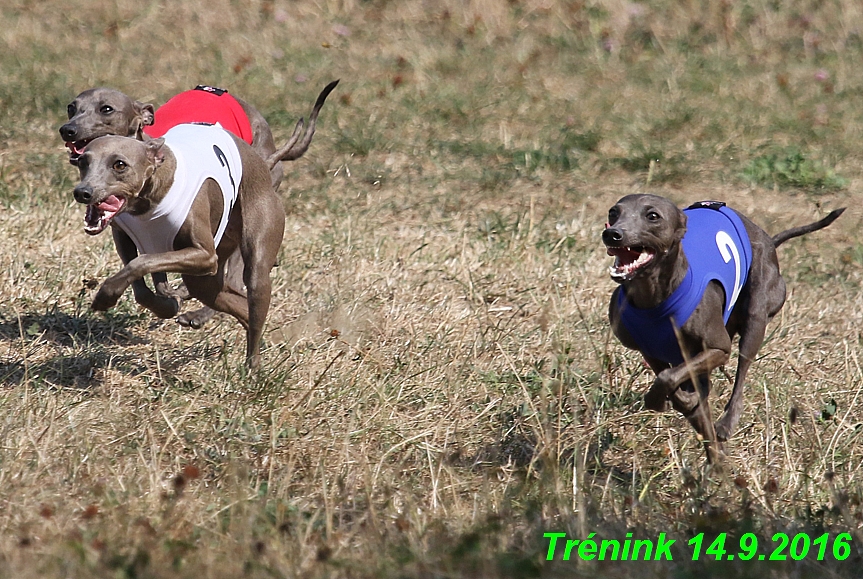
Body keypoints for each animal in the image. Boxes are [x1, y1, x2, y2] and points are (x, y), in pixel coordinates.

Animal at [58, 82, 338, 330]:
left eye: (106, 109)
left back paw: (202, 313)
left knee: (235, 277)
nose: (67, 130)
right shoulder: (125, 235)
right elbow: (144, 277)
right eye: (72, 107)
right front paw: (164, 301)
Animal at [73, 123, 286, 368]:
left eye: (119, 164)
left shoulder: (204, 255)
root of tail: (262, 162)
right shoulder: (123, 236)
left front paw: (106, 294)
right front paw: (164, 305)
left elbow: (142, 261)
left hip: (256, 248)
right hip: (206, 278)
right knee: (238, 305)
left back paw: (253, 366)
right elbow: (139, 284)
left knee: (254, 289)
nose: (82, 192)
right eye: (83, 161)